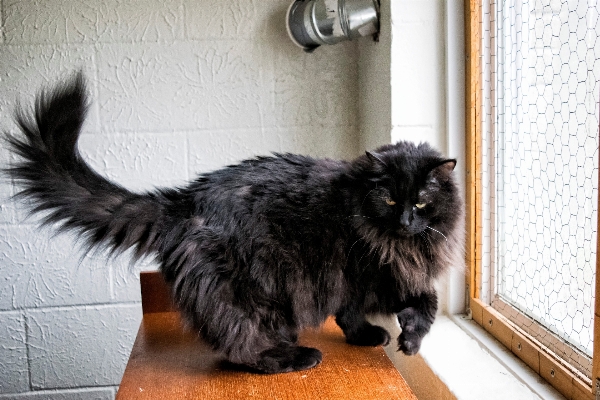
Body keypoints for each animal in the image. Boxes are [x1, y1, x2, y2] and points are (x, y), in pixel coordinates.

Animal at [4, 72, 464, 376]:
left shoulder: (356, 279)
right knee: (240, 346)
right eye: (390, 199)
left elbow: (363, 312)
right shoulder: (373, 272)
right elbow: (425, 301)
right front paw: (408, 338)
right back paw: (294, 357)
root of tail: (185, 199)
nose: (406, 220)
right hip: (247, 292)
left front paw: (379, 336)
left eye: (421, 201)